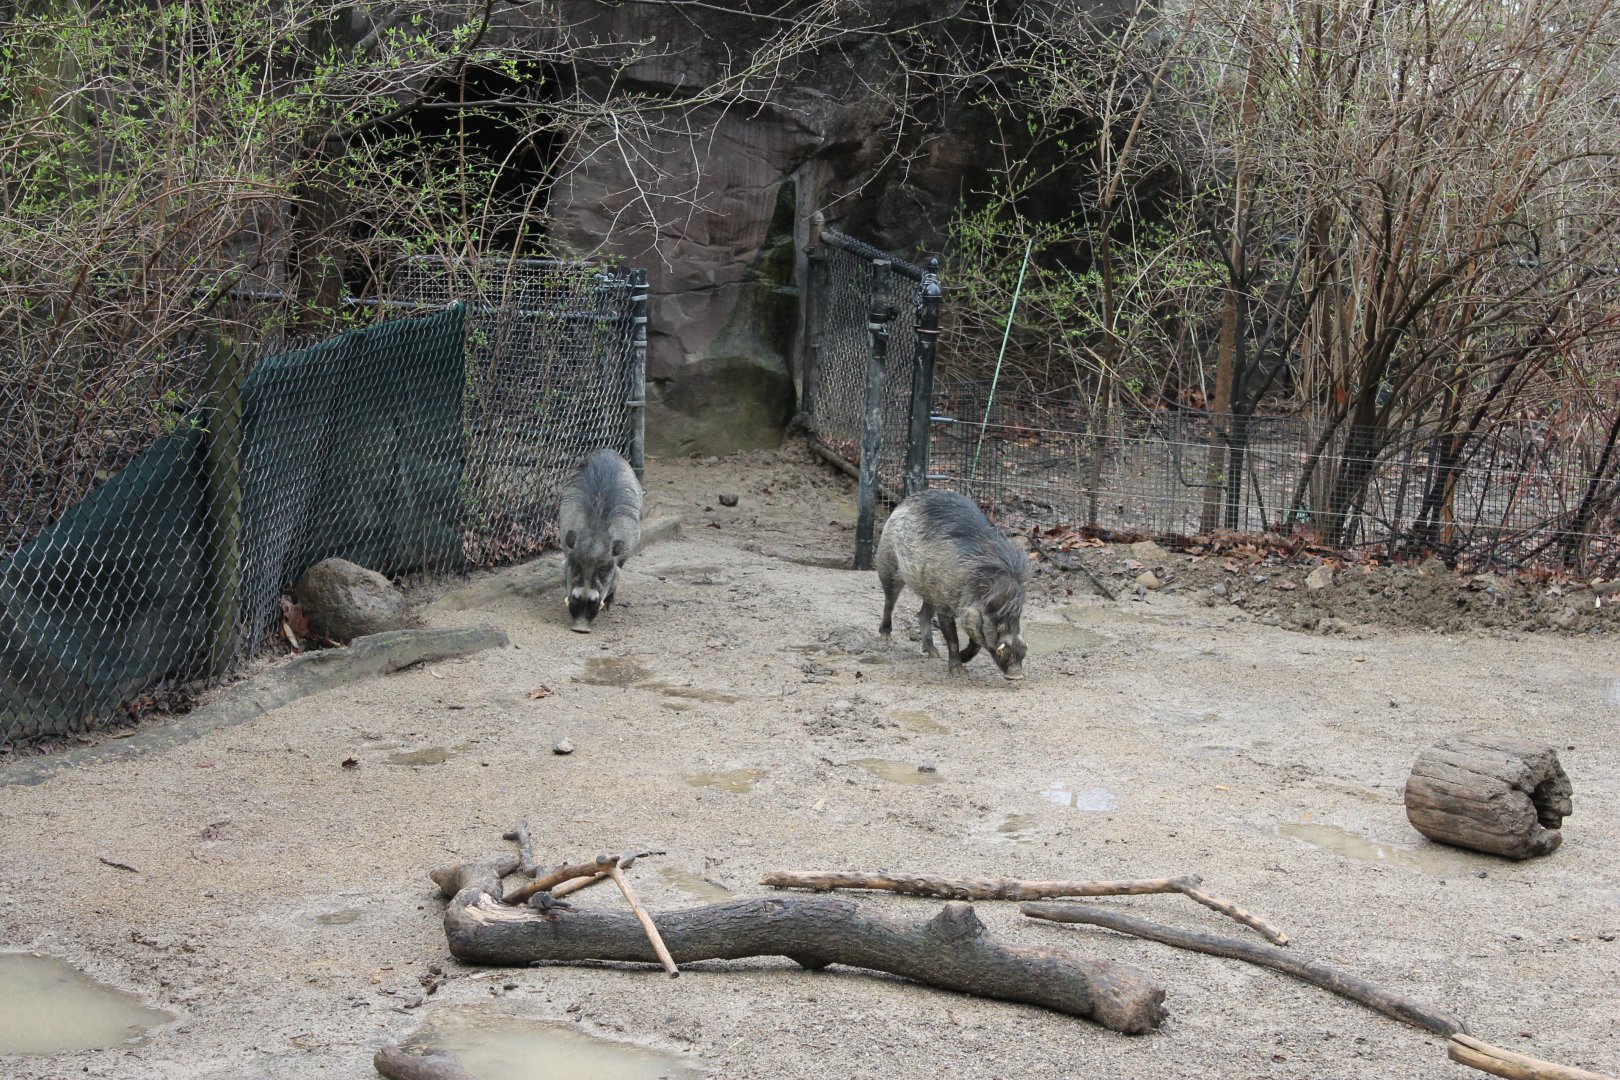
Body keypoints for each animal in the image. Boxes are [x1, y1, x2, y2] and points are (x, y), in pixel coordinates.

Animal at [557, 448, 644, 633]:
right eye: (576, 566)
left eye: (603, 570)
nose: (581, 627)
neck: (595, 535)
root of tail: (608, 451)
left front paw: (608, 607)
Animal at [876, 490, 1029, 680]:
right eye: (995, 614)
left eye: (1017, 614)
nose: (1017, 675)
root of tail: (903, 502)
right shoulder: (945, 606)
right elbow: (953, 639)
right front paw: (958, 672)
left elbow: (976, 644)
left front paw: (963, 660)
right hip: (888, 563)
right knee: (889, 602)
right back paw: (886, 638)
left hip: (929, 590)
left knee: (922, 614)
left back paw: (933, 653)